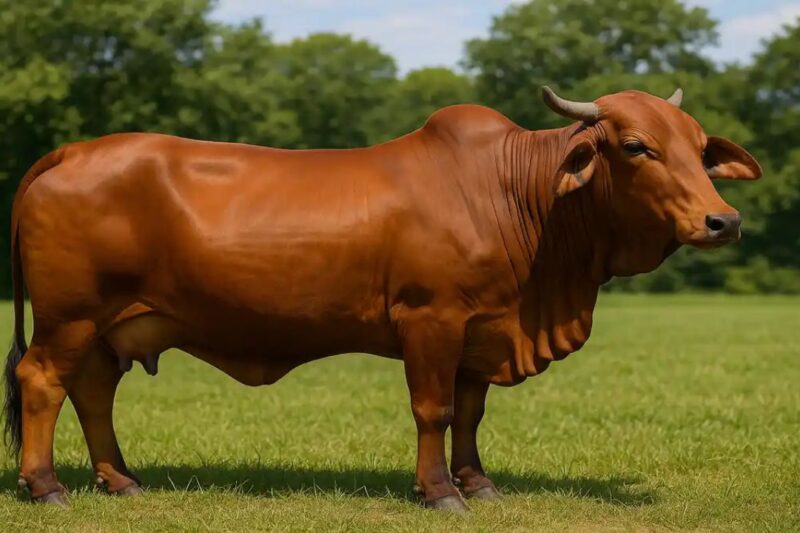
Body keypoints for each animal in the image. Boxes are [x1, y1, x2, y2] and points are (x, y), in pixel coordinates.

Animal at [3, 87, 760, 511]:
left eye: (701, 148)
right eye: (635, 145)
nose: (722, 221)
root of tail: (72, 150)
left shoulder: (482, 329)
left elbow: (469, 413)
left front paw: (478, 483)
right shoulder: (432, 319)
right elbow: (433, 410)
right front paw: (441, 492)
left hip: (110, 325)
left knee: (93, 392)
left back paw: (121, 480)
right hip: (69, 317)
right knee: (41, 381)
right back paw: (46, 485)